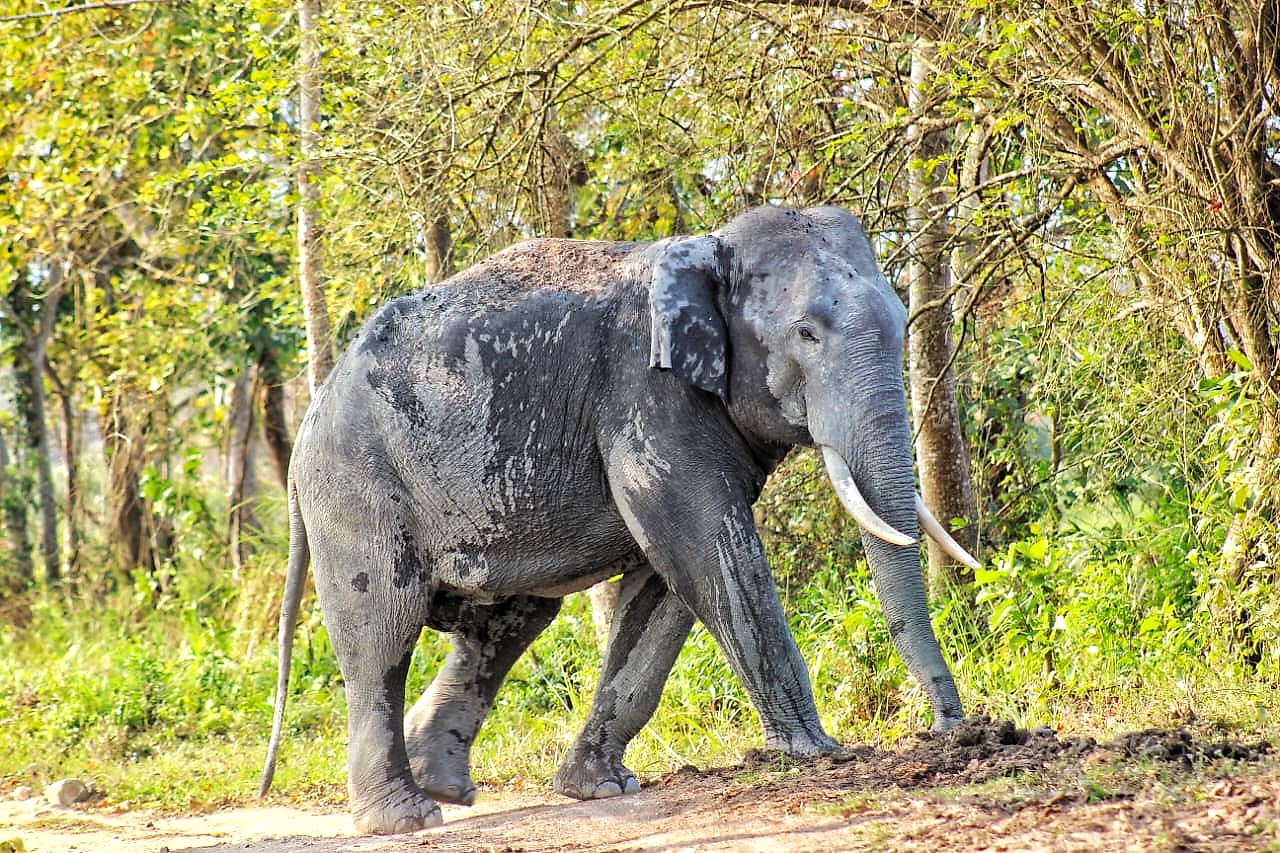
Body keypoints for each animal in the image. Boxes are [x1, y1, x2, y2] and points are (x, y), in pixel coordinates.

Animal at [257, 204, 979, 835]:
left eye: (901, 320)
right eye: (807, 333)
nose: (948, 730)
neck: (705, 248)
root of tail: (310, 420)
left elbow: (667, 587)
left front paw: (603, 788)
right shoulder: (647, 396)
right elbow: (709, 553)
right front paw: (819, 752)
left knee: (507, 622)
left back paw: (447, 787)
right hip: (356, 485)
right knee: (384, 628)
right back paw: (408, 817)